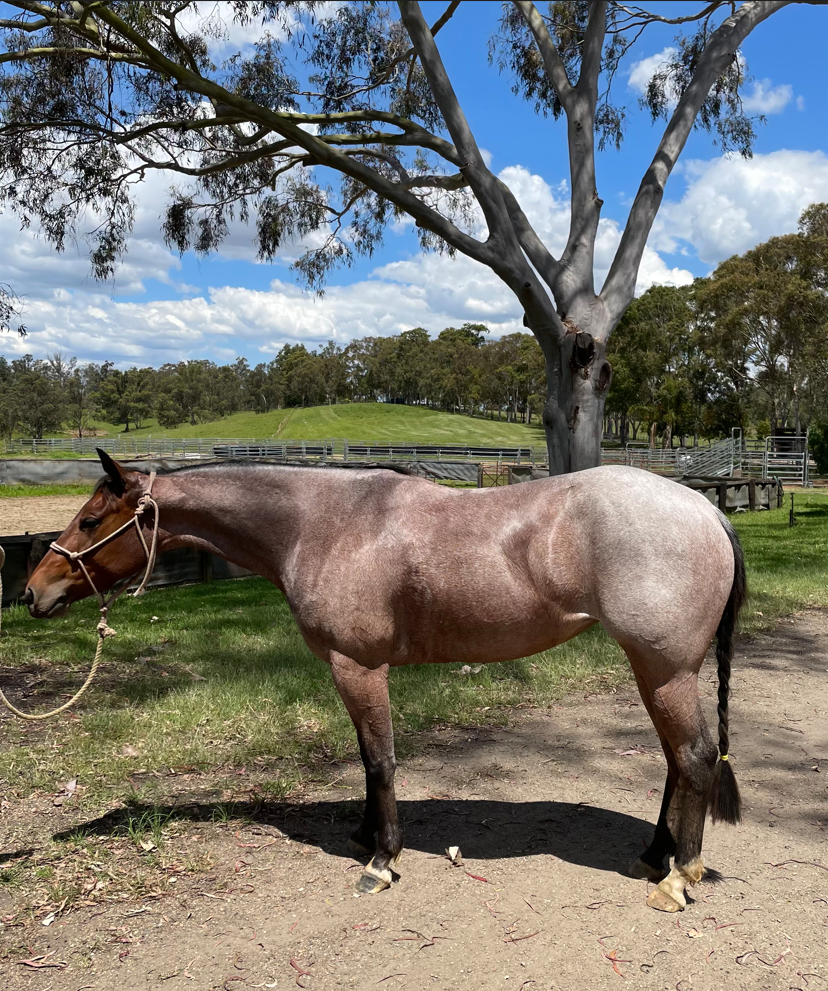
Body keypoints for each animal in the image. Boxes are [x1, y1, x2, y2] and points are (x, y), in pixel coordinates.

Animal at [24, 450, 744, 913]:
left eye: (90, 521)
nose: (33, 592)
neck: (320, 522)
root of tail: (705, 510)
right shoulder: (349, 669)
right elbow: (367, 759)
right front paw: (367, 837)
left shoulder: (358, 665)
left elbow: (380, 759)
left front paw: (381, 860)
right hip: (656, 668)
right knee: (677, 759)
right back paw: (656, 854)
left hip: (664, 668)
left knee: (696, 756)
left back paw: (679, 876)